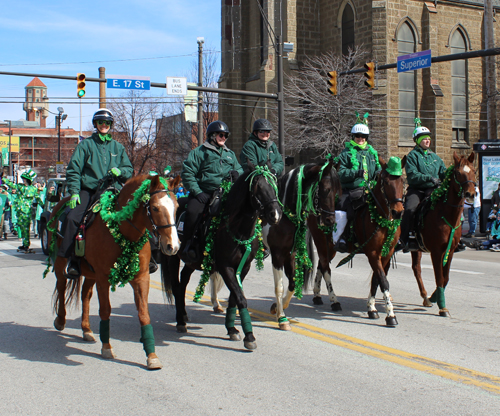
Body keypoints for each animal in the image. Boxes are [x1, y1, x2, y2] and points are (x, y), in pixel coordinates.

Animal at [46, 174, 180, 368]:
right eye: (154, 208)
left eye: (176, 207)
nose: (173, 246)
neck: (122, 231)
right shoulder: (104, 278)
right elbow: (105, 311)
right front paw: (107, 348)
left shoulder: (141, 278)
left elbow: (144, 314)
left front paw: (151, 356)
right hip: (60, 263)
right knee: (62, 287)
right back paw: (60, 320)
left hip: (90, 273)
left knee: (85, 294)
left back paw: (86, 329)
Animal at [162, 164, 284, 350]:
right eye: (258, 186)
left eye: (275, 185)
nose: (275, 214)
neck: (237, 228)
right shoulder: (225, 266)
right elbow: (240, 298)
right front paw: (249, 336)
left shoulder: (244, 267)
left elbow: (234, 298)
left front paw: (232, 329)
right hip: (173, 257)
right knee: (176, 287)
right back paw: (180, 321)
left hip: (191, 263)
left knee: (183, 283)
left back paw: (183, 316)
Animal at [262, 158, 340, 330]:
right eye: (326, 189)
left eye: (338, 191)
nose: (330, 221)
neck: (285, 215)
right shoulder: (277, 255)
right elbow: (279, 287)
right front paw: (281, 318)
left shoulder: (290, 254)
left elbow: (292, 284)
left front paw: (277, 307)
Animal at [304, 154, 406, 326]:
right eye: (386, 182)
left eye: (402, 181)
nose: (397, 212)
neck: (378, 216)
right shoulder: (373, 253)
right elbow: (383, 280)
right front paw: (390, 315)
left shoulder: (386, 253)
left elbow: (376, 280)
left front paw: (372, 308)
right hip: (321, 242)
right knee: (326, 269)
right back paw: (334, 301)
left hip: (330, 247)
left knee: (321, 266)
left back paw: (317, 296)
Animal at [408, 151, 474, 316]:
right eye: (458, 173)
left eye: (474, 171)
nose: (470, 193)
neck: (446, 214)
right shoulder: (436, 251)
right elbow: (439, 277)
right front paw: (442, 306)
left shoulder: (449, 251)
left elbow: (446, 278)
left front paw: (435, 297)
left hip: (416, 249)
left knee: (416, 269)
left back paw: (426, 297)